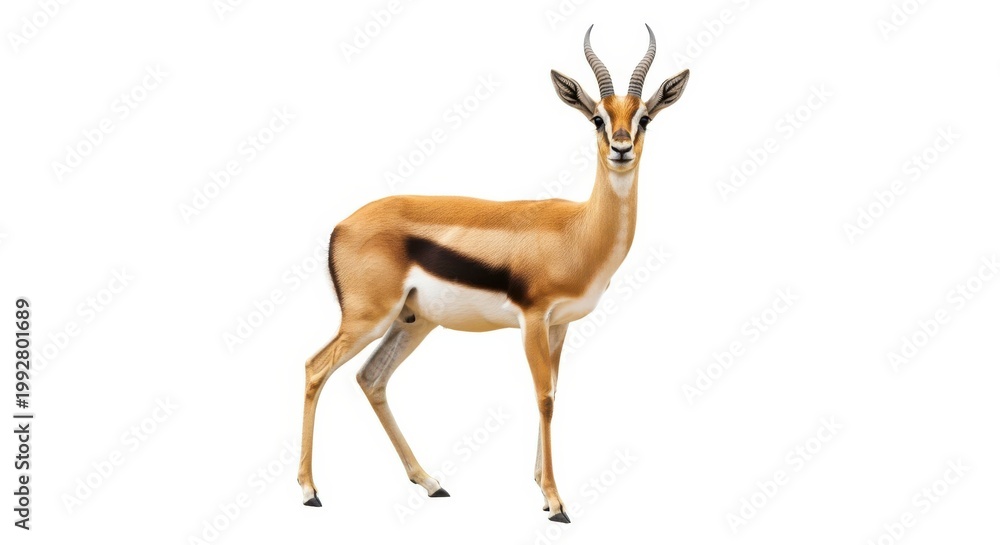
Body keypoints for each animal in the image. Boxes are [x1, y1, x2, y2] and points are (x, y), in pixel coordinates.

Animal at [298, 24, 689, 523]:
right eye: (597, 119)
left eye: (645, 118)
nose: (621, 150)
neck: (577, 232)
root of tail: (340, 225)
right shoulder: (533, 319)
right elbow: (543, 397)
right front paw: (556, 502)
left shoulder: (559, 325)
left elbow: (554, 392)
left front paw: (541, 489)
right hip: (368, 319)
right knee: (315, 368)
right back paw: (309, 490)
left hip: (412, 322)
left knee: (371, 379)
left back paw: (431, 483)